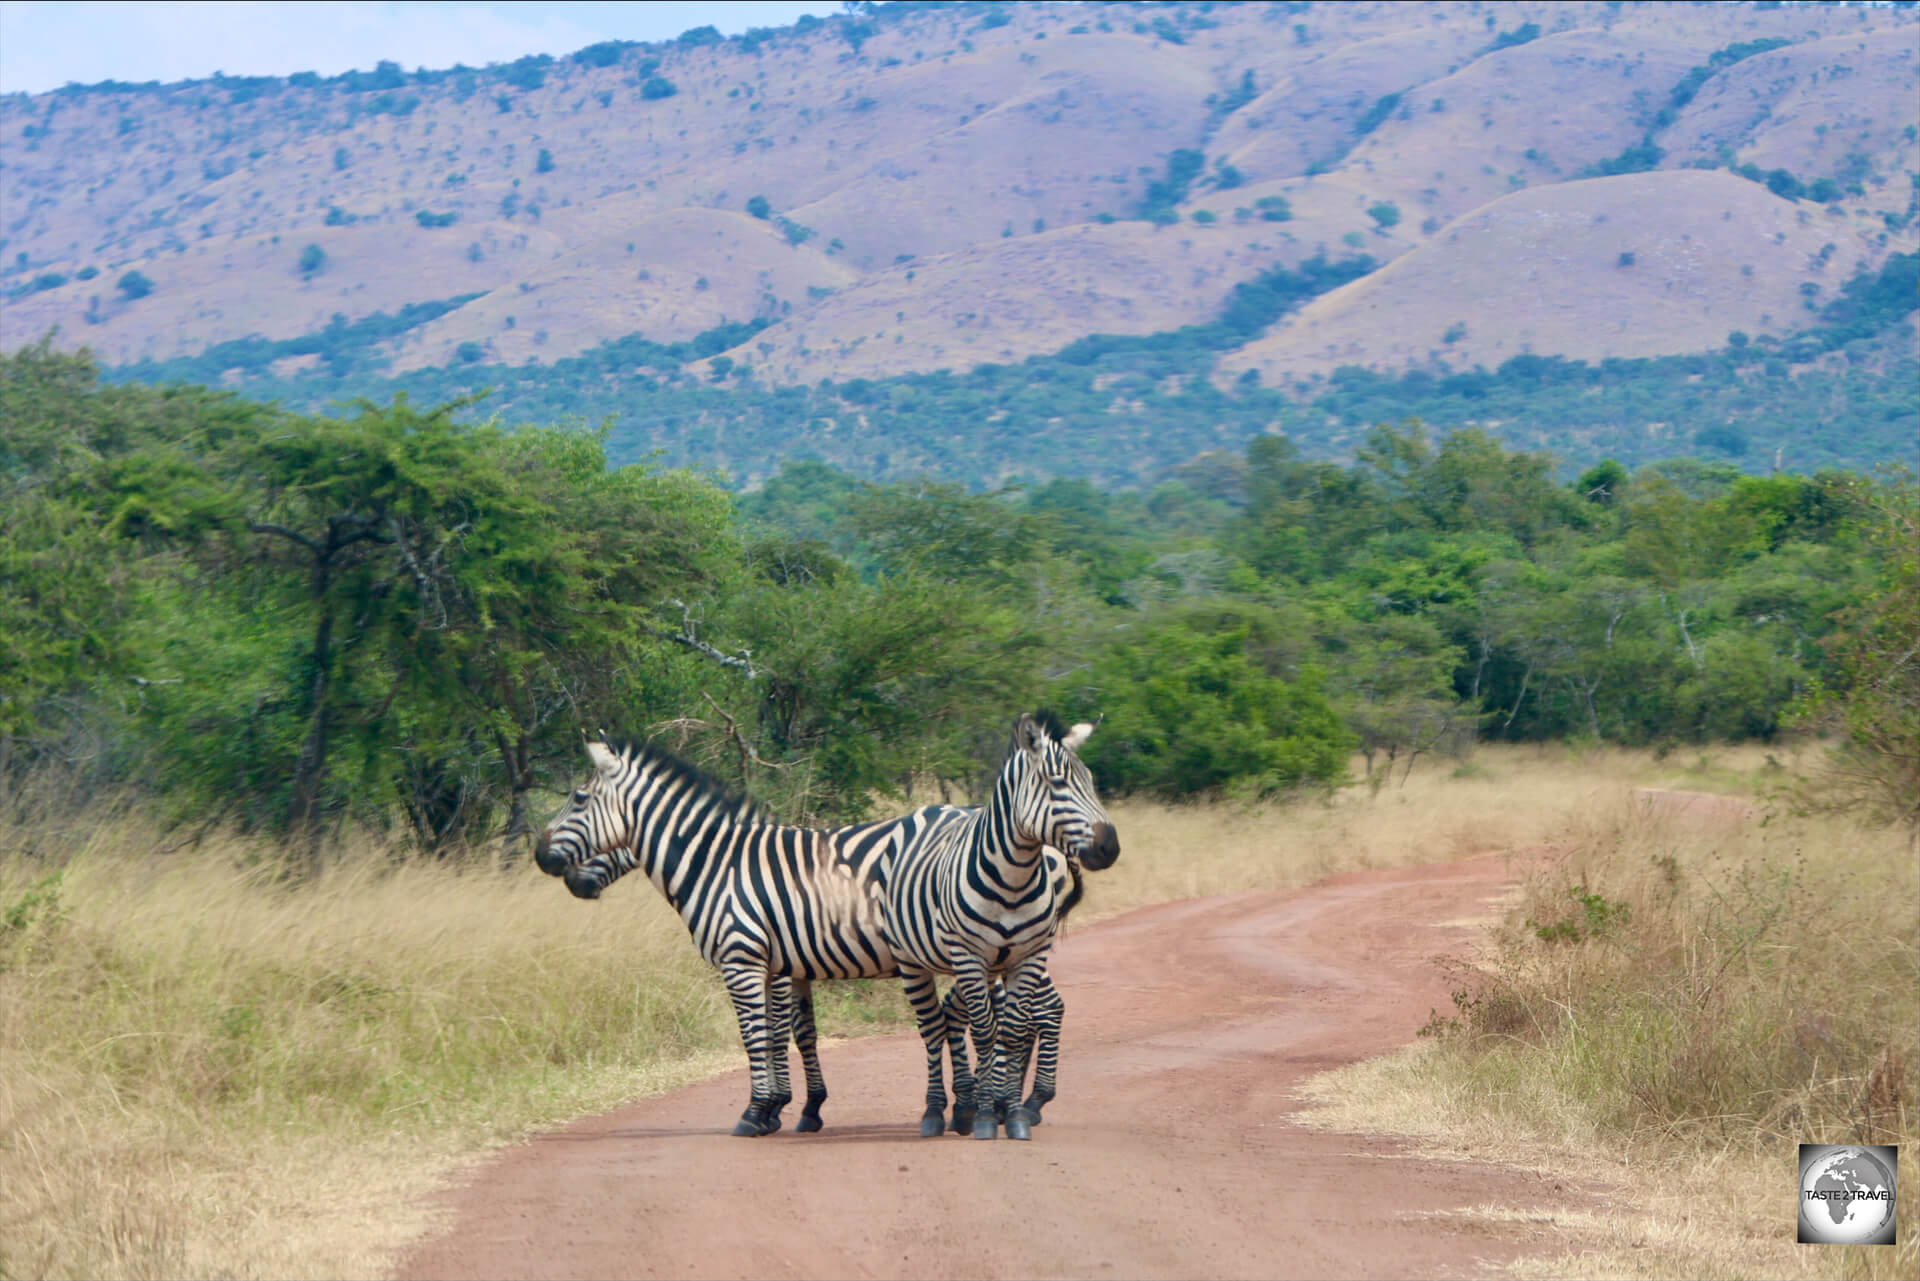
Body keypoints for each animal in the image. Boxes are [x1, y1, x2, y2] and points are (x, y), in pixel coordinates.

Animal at [529, 737, 956, 1136]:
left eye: (579, 798)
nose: (540, 856)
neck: (716, 864)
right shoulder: (781, 966)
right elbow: (795, 1032)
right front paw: (795, 1108)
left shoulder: (746, 961)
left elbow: (762, 1034)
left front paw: (760, 1112)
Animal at [879, 710, 1121, 1144]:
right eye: (1057, 784)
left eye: (1092, 781)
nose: (1109, 848)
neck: (1014, 878)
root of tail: (933, 807)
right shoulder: (969, 955)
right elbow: (986, 1032)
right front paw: (988, 1115)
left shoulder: (1028, 954)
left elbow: (1012, 1031)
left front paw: (1011, 1112)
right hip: (913, 961)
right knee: (932, 1027)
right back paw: (936, 1111)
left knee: (968, 1015)